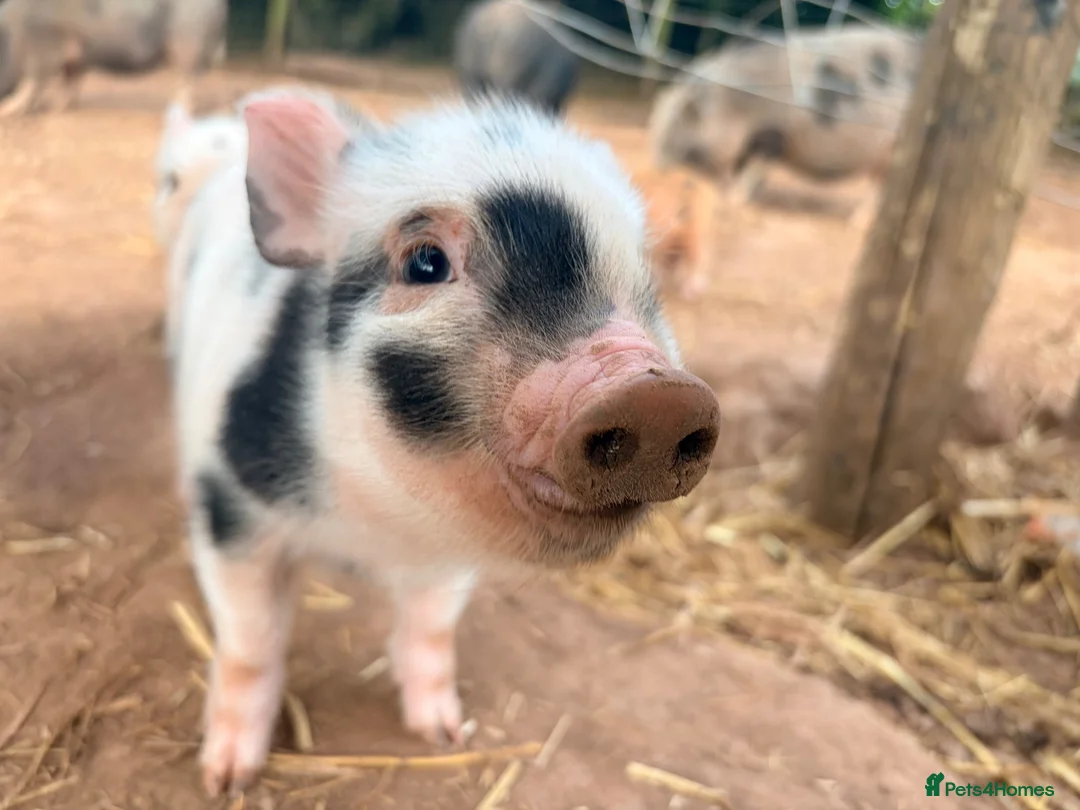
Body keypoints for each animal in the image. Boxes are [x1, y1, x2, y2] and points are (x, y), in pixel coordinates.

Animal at [0, 0, 227, 117]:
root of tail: (220, 7)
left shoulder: (44, 47)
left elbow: (32, 82)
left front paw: (7, 110)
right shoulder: (76, 56)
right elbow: (70, 80)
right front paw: (61, 108)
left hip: (189, 43)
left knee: (188, 79)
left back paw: (178, 110)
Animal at [167, 85, 721, 796]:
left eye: (643, 277)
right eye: (425, 262)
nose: (656, 395)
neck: (374, 529)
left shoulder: (449, 556)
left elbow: (431, 629)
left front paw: (445, 733)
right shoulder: (234, 509)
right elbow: (250, 643)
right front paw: (227, 778)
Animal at [647, 25, 924, 296]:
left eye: (680, 145)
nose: (658, 173)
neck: (734, 104)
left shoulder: (772, 135)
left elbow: (755, 169)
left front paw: (736, 200)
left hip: (893, 150)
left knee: (882, 189)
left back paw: (855, 224)